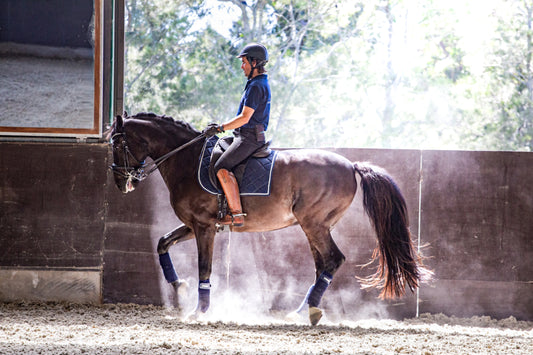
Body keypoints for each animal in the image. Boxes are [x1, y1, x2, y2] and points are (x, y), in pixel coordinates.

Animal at [110, 112, 430, 326]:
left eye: (117, 144)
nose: (120, 183)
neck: (187, 160)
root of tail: (351, 165)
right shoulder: (195, 225)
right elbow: (163, 243)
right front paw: (179, 287)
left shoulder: (204, 227)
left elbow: (204, 268)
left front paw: (199, 311)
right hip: (314, 227)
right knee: (322, 265)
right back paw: (303, 311)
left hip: (314, 224)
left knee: (333, 260)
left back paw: (308, 311)